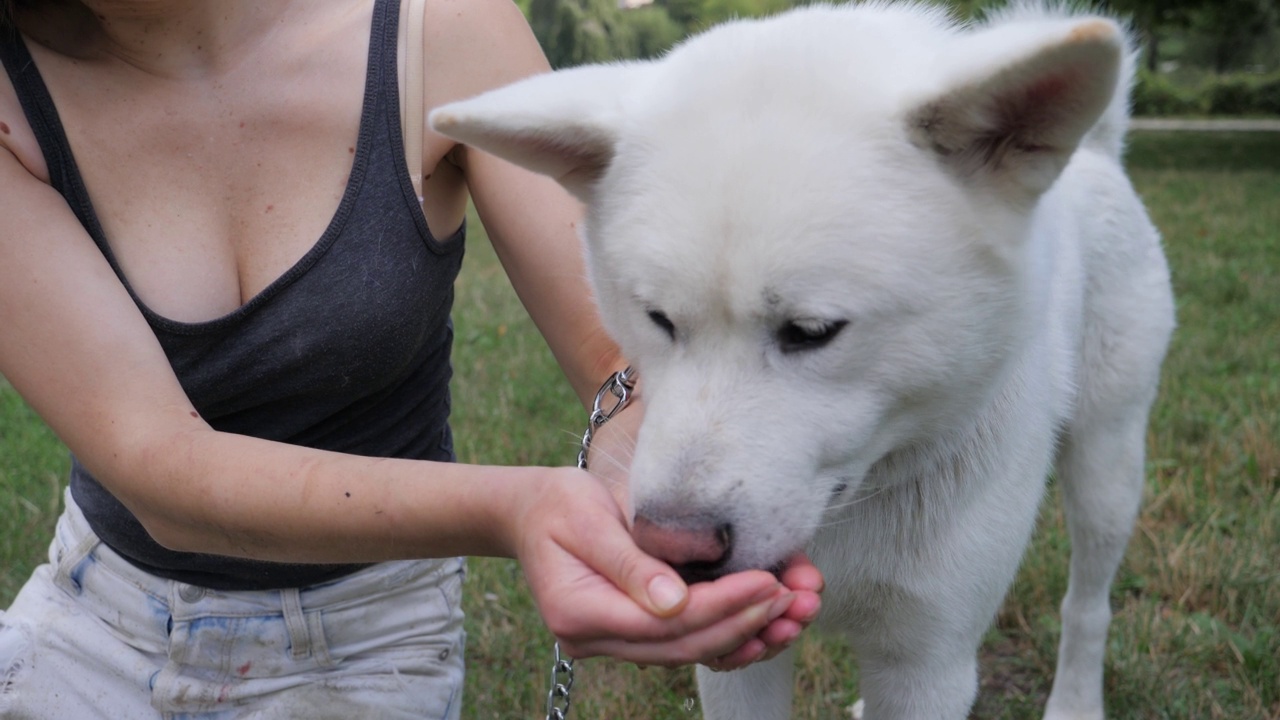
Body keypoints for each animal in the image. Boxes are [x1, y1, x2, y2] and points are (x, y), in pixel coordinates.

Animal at [435, 2, 1172, 712]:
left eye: (813, 331)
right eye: (658, 319)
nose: (674, 547)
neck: (855, 500)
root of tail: (1097, 151)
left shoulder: (927, 662)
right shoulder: (739, 662)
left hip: (1108, 468)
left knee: (1087, 606)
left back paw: (1075, 702)